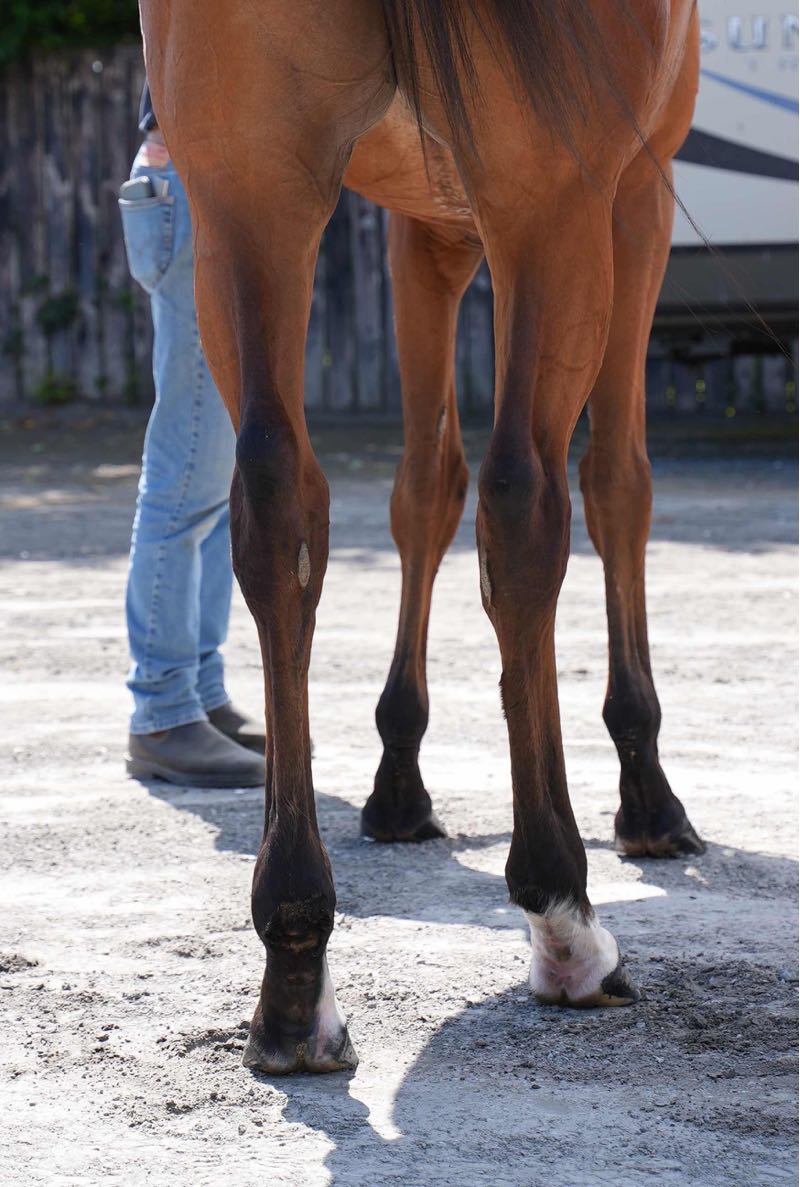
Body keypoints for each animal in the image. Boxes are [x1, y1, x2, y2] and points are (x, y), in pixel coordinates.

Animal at [139, 0, 706, 1075]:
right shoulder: (635, 192)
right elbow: (616, 484)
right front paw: (647, 794)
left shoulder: (426, 226)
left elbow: (422, 492)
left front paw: (397, 779)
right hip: (551, 206)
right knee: (526, 494)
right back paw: (563, 917)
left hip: (247, 193)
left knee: (278, 503)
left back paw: (295, 963)